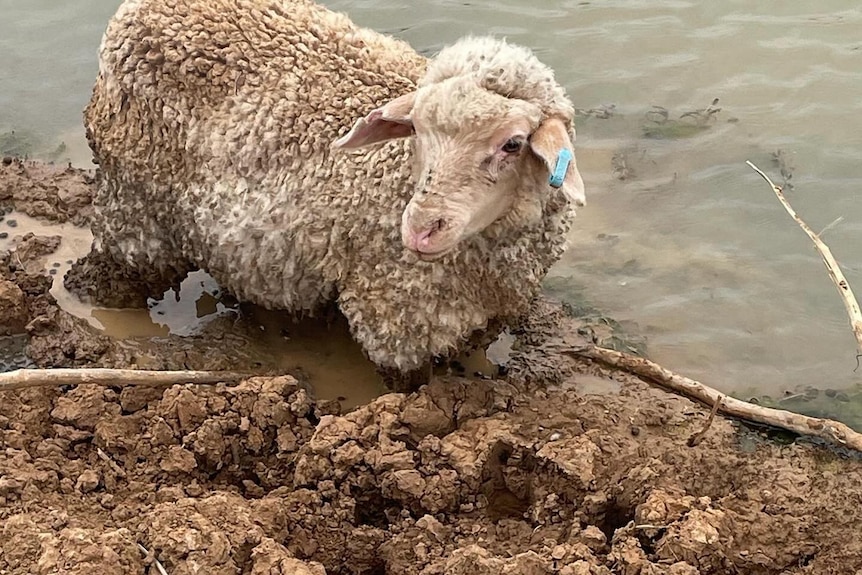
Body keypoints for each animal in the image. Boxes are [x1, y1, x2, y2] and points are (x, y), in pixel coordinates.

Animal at [66, 0, 586, 387]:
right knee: (112, 272)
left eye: (513, 144)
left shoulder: (484, 311)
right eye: (417, 130)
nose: (420, 230)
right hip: (133, 199)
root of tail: (138, 9)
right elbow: (410, 385)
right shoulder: (395, 316)